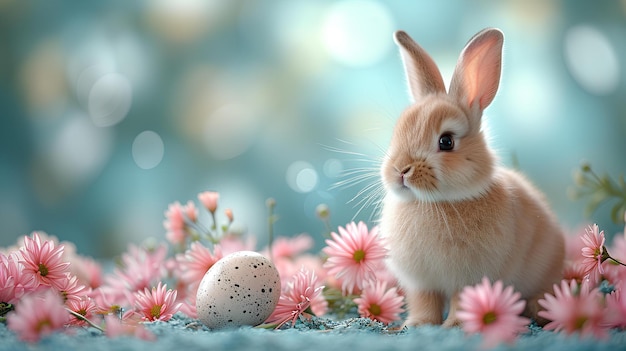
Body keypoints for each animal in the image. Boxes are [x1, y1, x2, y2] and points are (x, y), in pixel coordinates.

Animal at [378, 27, 564, 328]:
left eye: (446, 141)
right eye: (398, 132)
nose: (400, 170)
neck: (434, 202)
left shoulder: (469, 278)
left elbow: (461, 300)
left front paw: (456, 325)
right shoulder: (421, 282)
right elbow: (424, 302)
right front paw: (416, 324)